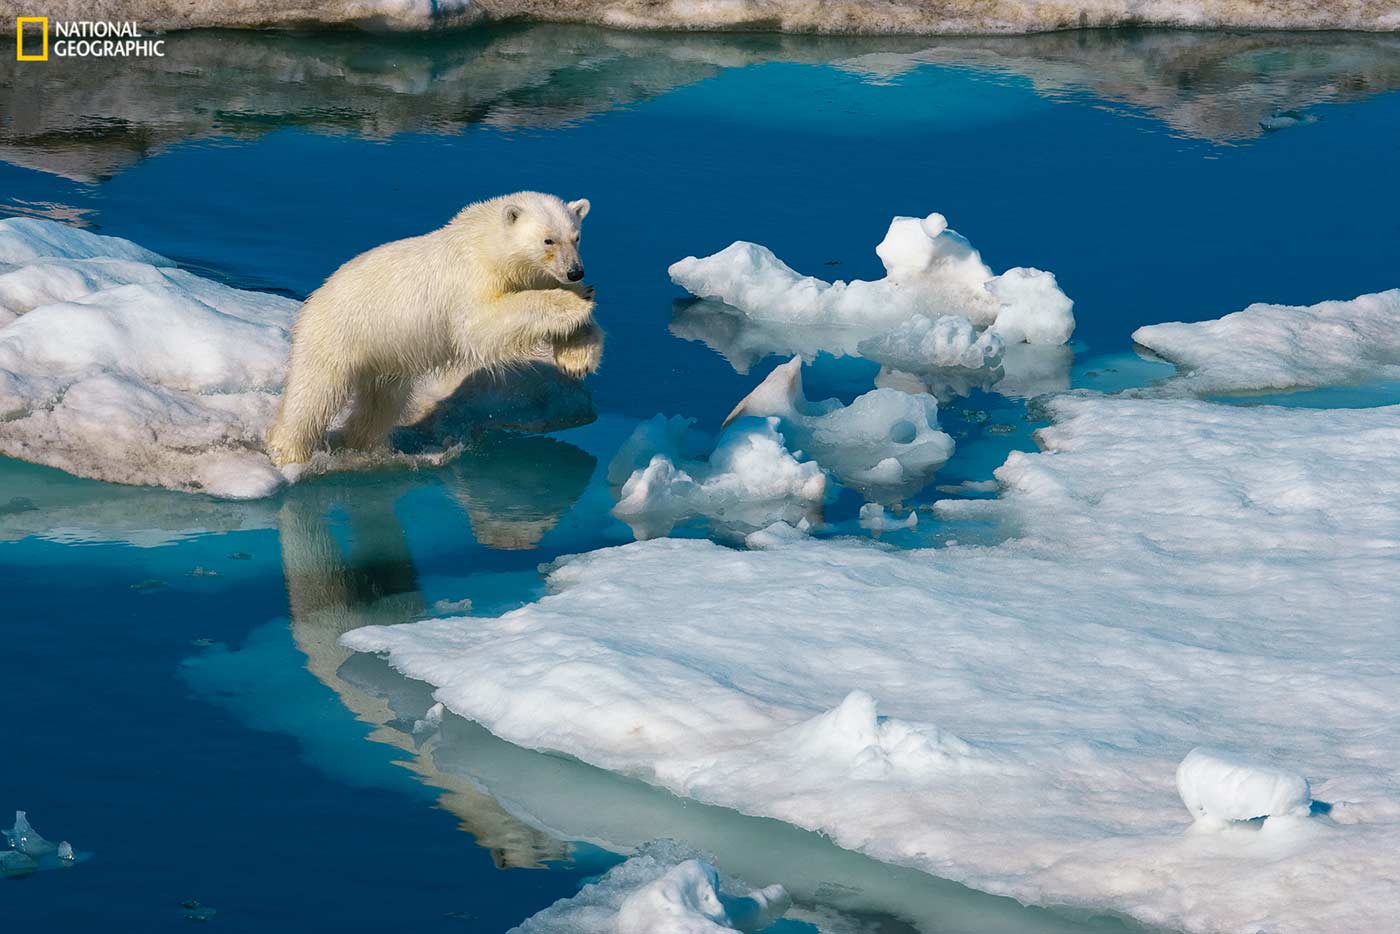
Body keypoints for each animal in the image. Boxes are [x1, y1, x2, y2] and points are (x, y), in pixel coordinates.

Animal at [267, 190, 602, 467]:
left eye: (576, 237)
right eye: (548, 240)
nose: (575, 271)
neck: (485, 242)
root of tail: (313, 300)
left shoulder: (532, 274)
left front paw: (577, 357)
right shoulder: (470, 277)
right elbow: (483, 324)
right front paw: (575, 301)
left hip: (385, 356)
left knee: (381, 403)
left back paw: (361, 445)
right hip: (335, 336)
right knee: (312, 396)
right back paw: (289, 453)